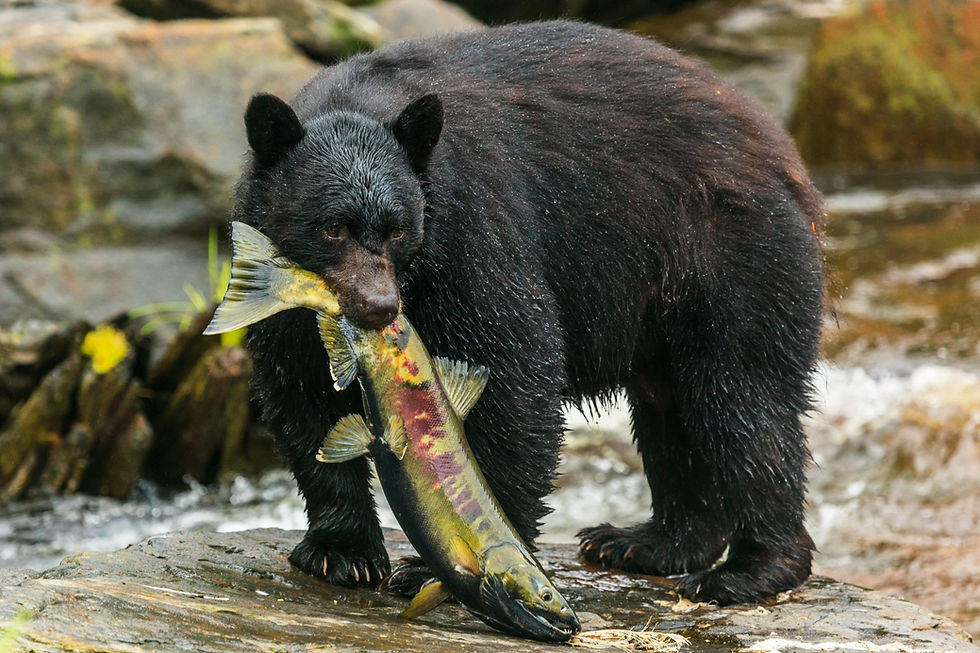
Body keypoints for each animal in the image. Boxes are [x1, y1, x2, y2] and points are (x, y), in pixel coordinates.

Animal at [235, 20, 825, 605]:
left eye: (398, 229)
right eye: (333, 228)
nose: (379, 307)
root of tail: (783, 150)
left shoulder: (470, 227)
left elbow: (514, 364)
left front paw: (462, 557)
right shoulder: (274, 276)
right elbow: (301, 389)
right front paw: (343, 552)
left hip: (730, 254)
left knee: (742, 397)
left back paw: (748, 569)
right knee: (670, 410)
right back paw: (646, 543)